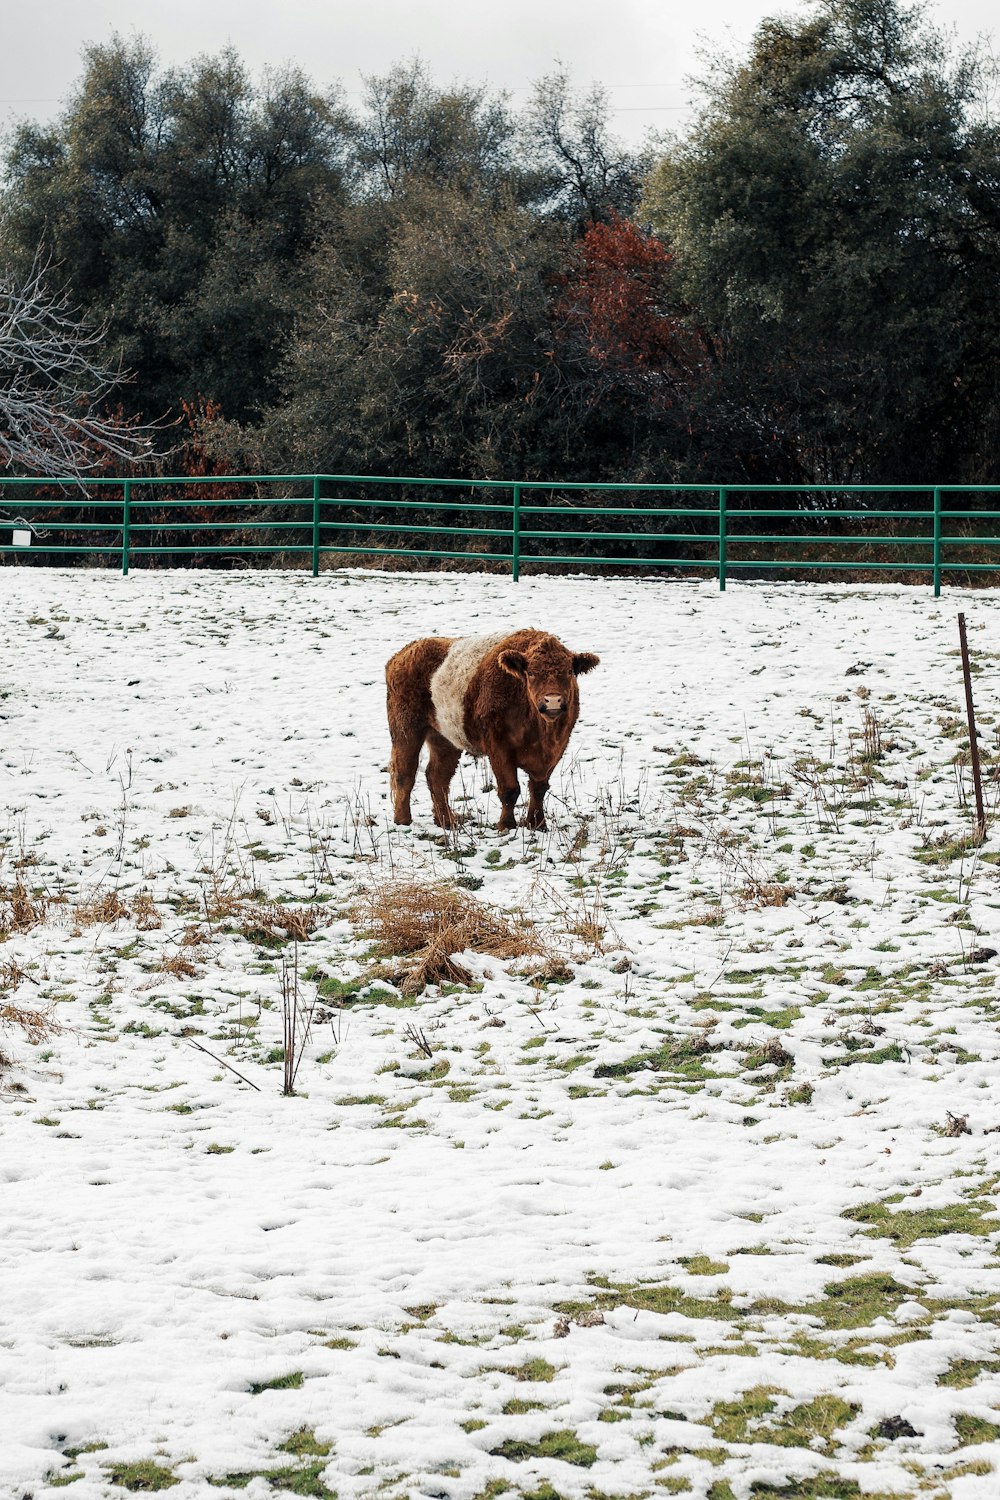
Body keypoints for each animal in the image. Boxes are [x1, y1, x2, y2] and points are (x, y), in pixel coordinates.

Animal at [386, 624, 599, 828]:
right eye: (531, 673)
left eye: (569, 672)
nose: (552, 700)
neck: (541, 732)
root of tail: (403, 654)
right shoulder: (499, 746)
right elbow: (510, 789)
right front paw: (506, 825)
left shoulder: (556, 750)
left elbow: (538, 789)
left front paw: (537, 824)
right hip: (406, 730)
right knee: (405, 774)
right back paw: (403, 820)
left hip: (445, 737)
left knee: (437, 777)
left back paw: (447, 822)